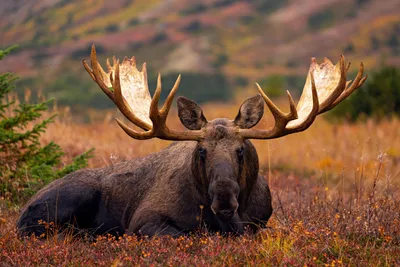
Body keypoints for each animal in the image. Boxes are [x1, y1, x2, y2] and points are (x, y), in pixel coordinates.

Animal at [16, 46, 366, 239]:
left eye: (241, 151)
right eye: (201, 151)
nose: (224, 198)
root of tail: (22, 208)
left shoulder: (261, 222)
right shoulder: (144, 221)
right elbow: (189, 237)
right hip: (66, 200)